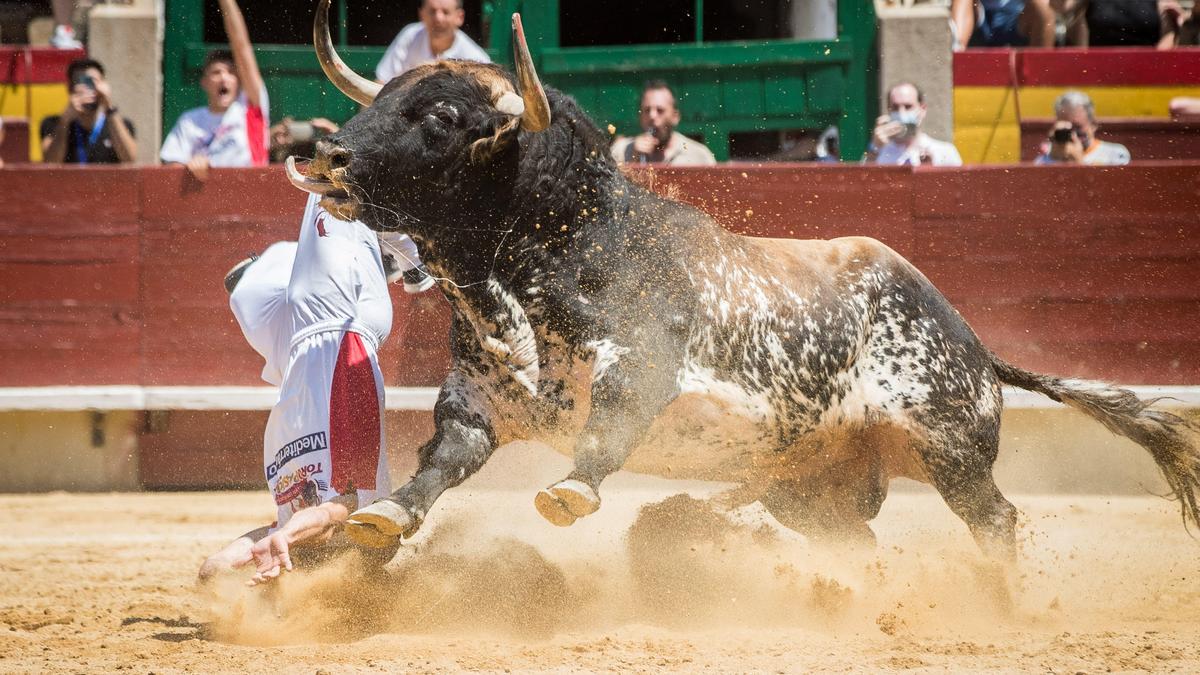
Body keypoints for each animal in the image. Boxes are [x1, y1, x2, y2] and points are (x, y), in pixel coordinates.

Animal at [283, 0, 1200, 557]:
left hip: (949, 443)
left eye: (440, 117)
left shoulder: (640, 365)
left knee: (996, 518)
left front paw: (570, 492)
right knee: (857, 540)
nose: (325, 153)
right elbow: (440, 461)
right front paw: (383, 513)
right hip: (815, 488)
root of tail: (972, 340)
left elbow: (606, 429)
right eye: (379, 102)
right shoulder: (475, 401)